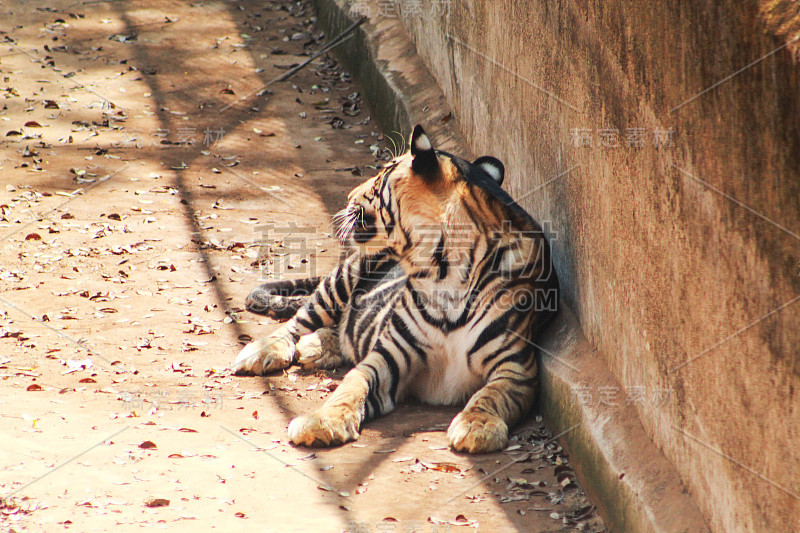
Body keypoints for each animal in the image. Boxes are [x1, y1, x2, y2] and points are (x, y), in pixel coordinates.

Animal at [231, 125, 556, 454]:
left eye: (378, 180)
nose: (348, 196)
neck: (444, 273)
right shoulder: (389, 354)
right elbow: (351, 385)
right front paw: (322, 423)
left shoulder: (516, 368)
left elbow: (490, 396)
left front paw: (477, 427)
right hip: (344, 277)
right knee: (299, 321)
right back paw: (263, 351)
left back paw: (314, 348)